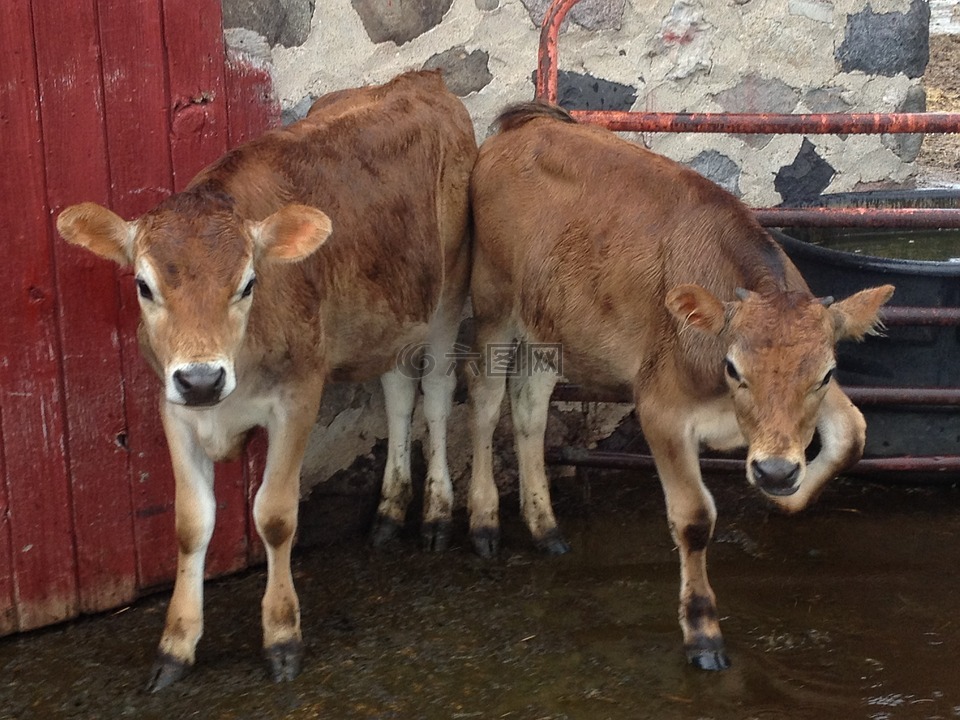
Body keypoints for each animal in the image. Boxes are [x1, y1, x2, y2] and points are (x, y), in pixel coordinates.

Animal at [56, 69, 476, 692]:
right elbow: (190, 523)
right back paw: (388, 511)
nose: (202, 379)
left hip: (449, 292)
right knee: (399, 395)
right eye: (143, 285)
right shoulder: (172, 406)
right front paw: (175, 646)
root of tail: (421, 80)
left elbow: (274, 516)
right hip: (390, 313)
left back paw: (437, 514)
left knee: (439, 397)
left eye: (249, 283)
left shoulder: (299, 395)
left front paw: (282, 636)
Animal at [468, 101, 896, 668]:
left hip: (548, 325)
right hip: (492, 301)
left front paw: (785, 499)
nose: (777, 471)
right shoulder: (661, 409)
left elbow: (852, 432)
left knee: (529, 408)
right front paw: (703, 633)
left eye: (825, 373)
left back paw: (546, 527)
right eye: (733, 368)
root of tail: (527, 122)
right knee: (484, 400)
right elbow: (694, 518)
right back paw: (483, 523)